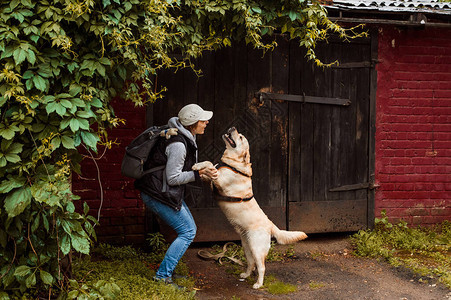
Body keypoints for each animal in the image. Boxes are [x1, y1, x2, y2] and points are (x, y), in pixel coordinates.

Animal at [192, 126, 308, 288]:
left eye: (240, 137)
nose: (233, 127)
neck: (233, 164)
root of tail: (270, 224)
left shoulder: (220, 181)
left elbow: (209, 162)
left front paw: (197, 165)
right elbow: (208, 166)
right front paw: (200, 168)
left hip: (257, 248)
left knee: (262, 267)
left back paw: (258, 284)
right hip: (247, 247)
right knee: (251, 263)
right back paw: (246, 275)